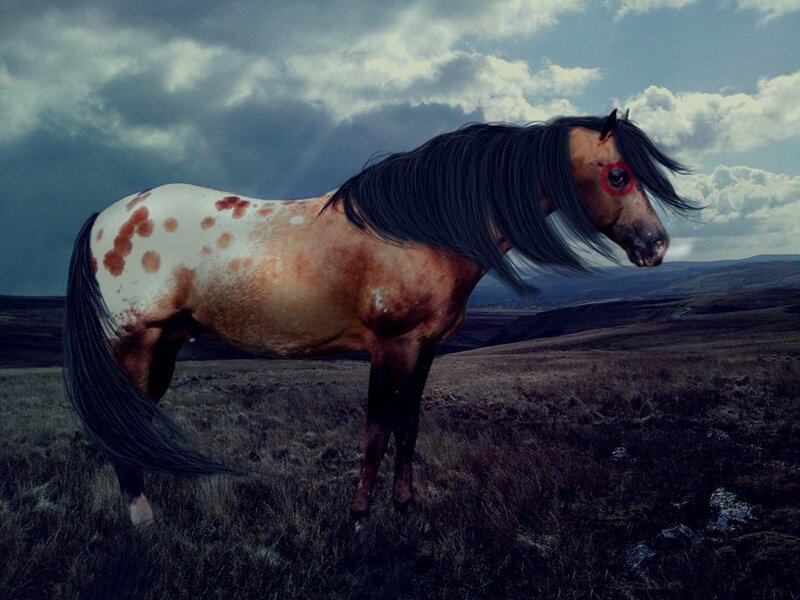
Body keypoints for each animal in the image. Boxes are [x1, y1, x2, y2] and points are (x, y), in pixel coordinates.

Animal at [63, 109, 697, 528]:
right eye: (618, 175)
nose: (656, 246)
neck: (420, 229)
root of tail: (104, 216)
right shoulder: (391, 347)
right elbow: (375, 430)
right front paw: (362, 515)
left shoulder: (425, 349)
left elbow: (408, 428)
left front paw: (406, 507)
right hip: (135, 346)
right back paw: (144, 525)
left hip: (166, 346)